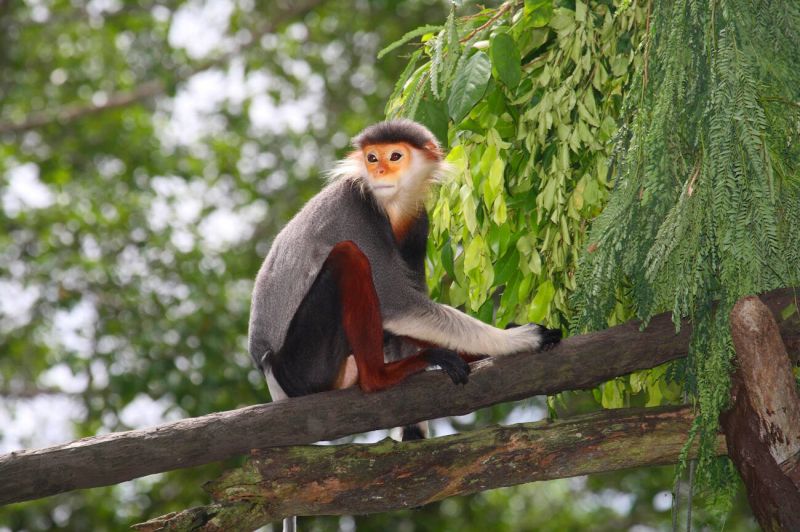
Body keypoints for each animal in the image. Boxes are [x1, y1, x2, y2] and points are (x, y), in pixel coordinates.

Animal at [250, 117, 564, 408]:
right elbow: (398, 303)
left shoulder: (417, 219)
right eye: (372, 157)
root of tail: (269, 374)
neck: (390, 205)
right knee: (349, 257)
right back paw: (379, 377)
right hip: (303, 366)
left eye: (394, 156)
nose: (379, 171)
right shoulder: (357, 211)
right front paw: (519, 339)